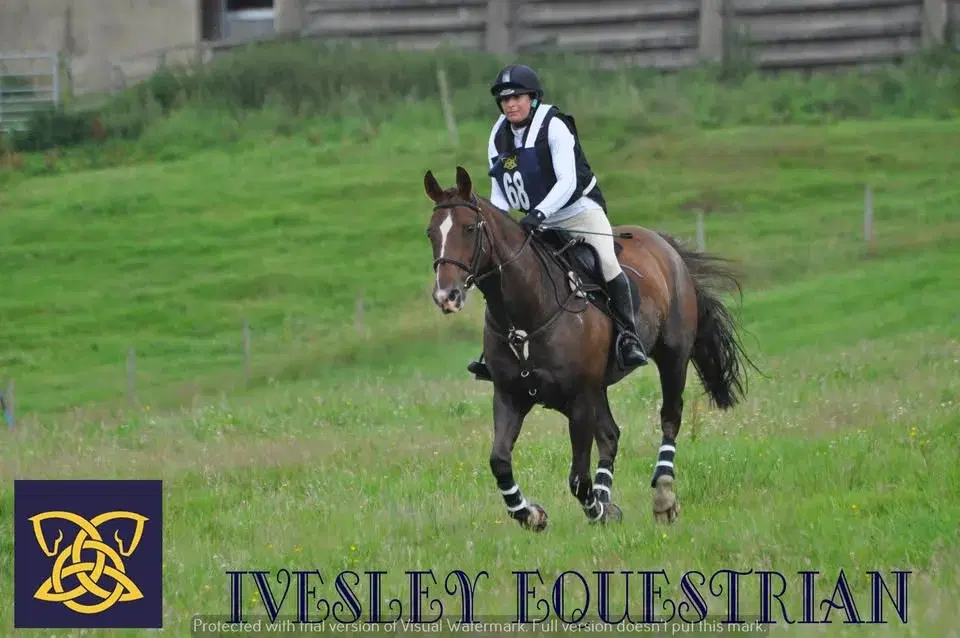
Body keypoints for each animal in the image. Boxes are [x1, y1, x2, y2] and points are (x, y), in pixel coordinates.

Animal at [423, 166, 756, 531]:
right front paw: (531, 514)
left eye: (469, 228)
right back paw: (608, 498)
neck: (525, 316)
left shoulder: (580, 398)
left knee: (670, 417)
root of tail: (664, 244)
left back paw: (663, 498)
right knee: (610, 434)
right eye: (431, 233)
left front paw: (596, 509)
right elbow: (499, 461)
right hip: (599, 387)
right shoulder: (510, 396)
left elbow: (577, 478)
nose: (446, 296)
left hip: (672, 358)